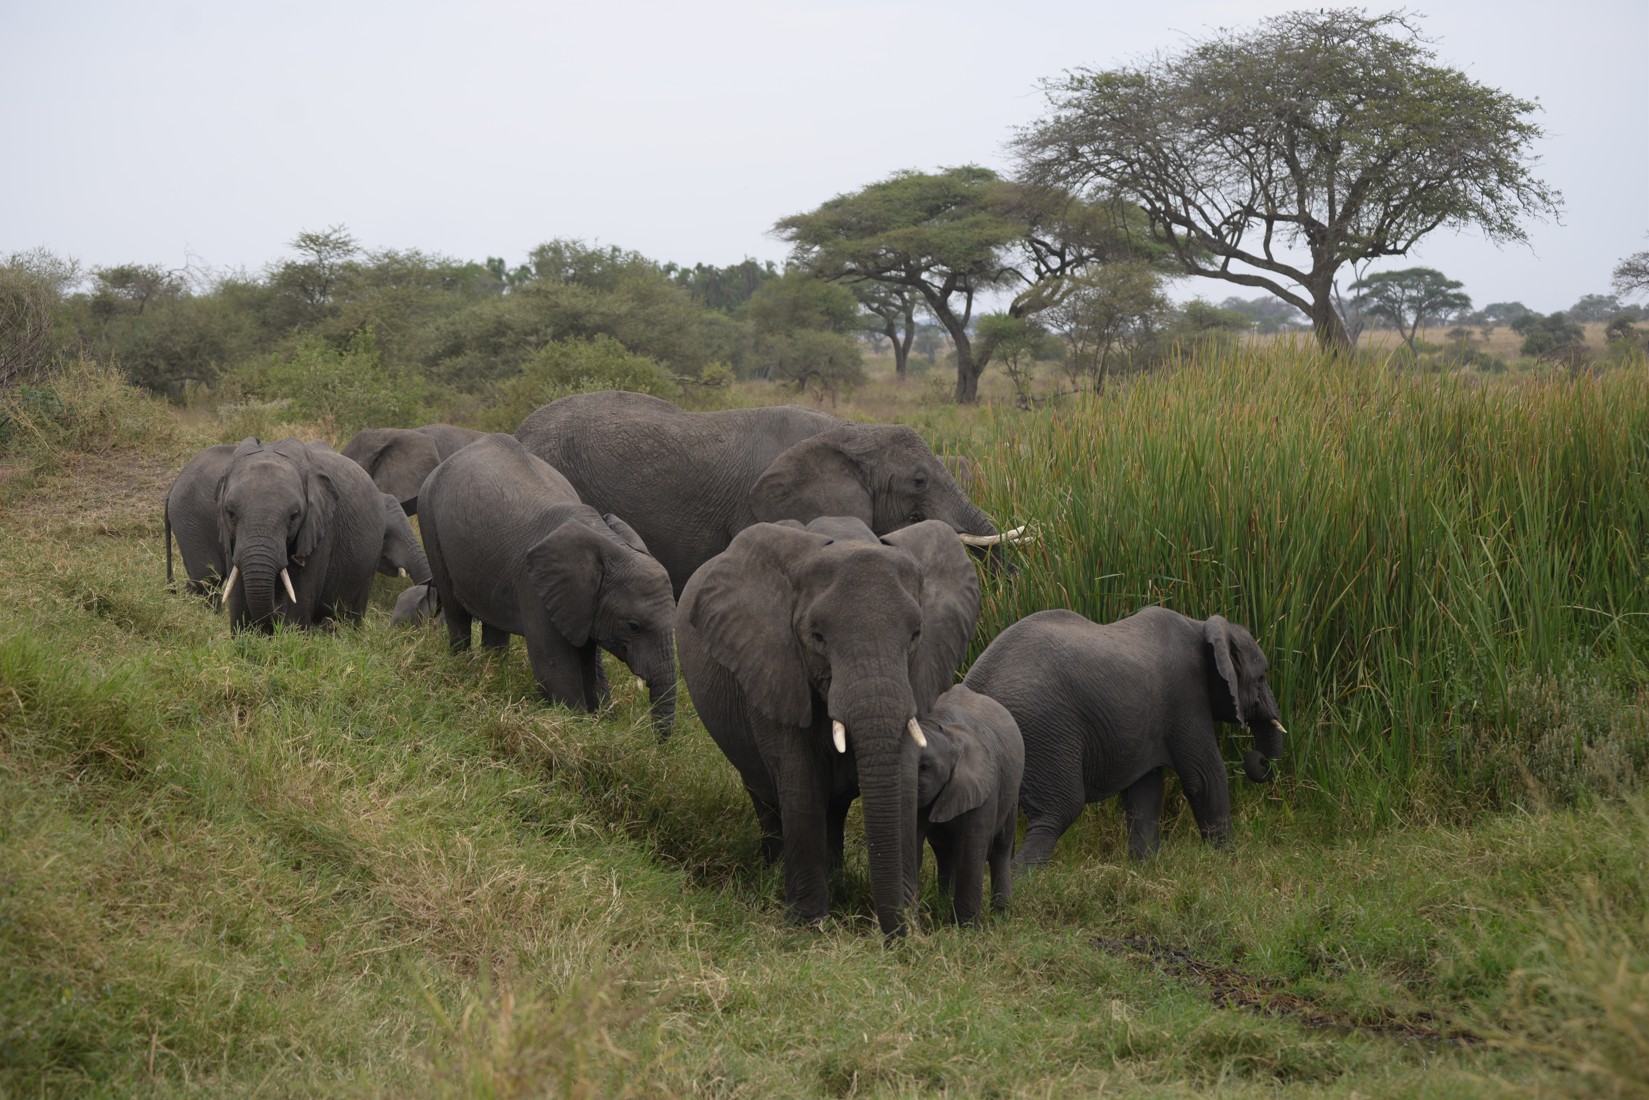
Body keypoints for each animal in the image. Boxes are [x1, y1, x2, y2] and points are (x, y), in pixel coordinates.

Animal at [214, 437, 400, 633]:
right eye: (230, 513)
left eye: (294, 516)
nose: (273, 615)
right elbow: (238, 598)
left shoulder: (321, 530)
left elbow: (297, 607)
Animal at [417, 433, 678, 738]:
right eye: (634, 626)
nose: (655, 742)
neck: (608, 542)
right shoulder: (537, 588)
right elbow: (555, 667)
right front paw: (576, 727)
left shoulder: (583, 603)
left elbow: (589, 662)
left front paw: (600, 722)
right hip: (428, 518)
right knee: (455, 609)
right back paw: (463, 667)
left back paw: (493, 674)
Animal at [675, 516, 981, 937]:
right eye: (817, 638)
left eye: (916, 634)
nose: (897, 937)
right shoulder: (776, 669)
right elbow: (800, 783)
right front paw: (811, 927)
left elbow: (901, 780)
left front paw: (907, 924)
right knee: (765, 793)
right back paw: (776, 874)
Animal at [915, 684, 1024, 926]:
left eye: (924, 767)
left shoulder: (984, 787)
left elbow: (971, 848)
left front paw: (965, 928)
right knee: (944, 850)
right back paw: (943, 902)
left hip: (1011, 789)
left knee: (1000, 846)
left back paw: (1001, 915)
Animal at [963, 607, 1286, 865]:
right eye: (1262, 677)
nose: (1261, 761)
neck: (1202, 625)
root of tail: (974, 684)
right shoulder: (1187, 697)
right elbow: (1205, 777)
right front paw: (1228, 862)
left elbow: (1146, 791)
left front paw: (1143, 867)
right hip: (1045, 731)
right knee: (1059, 811)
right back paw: (1023, 882)